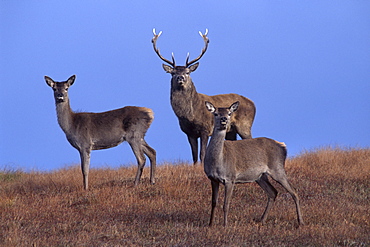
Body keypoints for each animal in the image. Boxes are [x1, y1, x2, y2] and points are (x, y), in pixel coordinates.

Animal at [152, 28, 256, 166]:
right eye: (173, 73)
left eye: (188, 72)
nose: (180, 78)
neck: (190, 115)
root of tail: (253, 104)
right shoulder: (189, 132)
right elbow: (194, 155)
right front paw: (195, 166)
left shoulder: (205, 128)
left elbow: (202, 153)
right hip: (231, 131)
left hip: (245, 125)